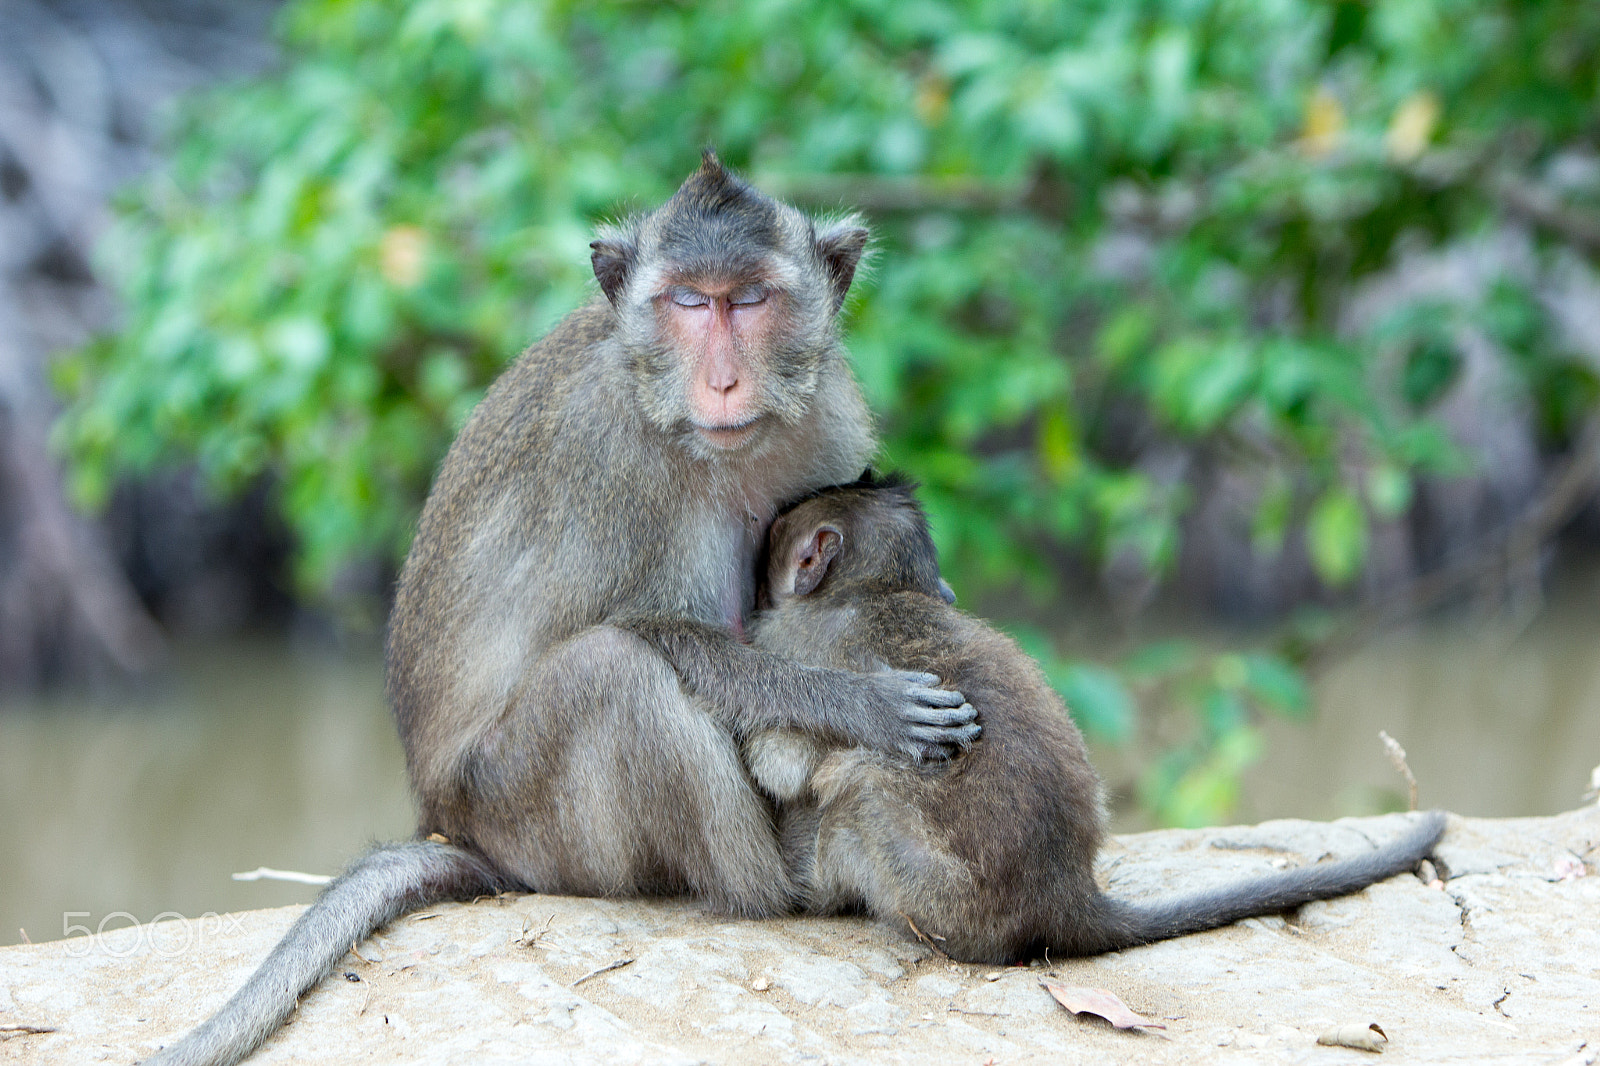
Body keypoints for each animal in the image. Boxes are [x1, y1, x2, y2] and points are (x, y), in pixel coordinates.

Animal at [142, 153, 980, 1066]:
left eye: (751, 298)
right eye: (689, 303)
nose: (723, 381)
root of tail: (453, 829)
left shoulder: (829, 415)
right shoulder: (609, 459)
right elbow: (650, 629)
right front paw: (861, 705)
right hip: (522, 815)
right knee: (611, 671)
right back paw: (778, 886)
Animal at [744, 474, 1447, 964]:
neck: (875, 590)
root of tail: (1065, 899)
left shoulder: (794, 637)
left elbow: (781, 762)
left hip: (933, 896)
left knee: (862, 792)